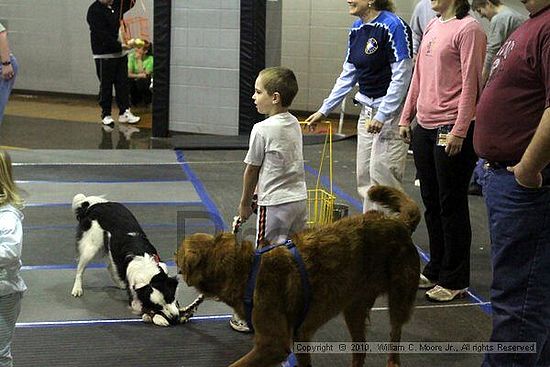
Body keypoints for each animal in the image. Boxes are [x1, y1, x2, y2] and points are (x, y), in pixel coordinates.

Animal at [177, 187, 422, 367]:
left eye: (179, 255)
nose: (172, 258)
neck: (244, 271)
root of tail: (401, 223)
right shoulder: (301, 335)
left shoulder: (273, 345)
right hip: (354, 308)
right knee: (360, 351)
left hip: (398, 300)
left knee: (394, 338)